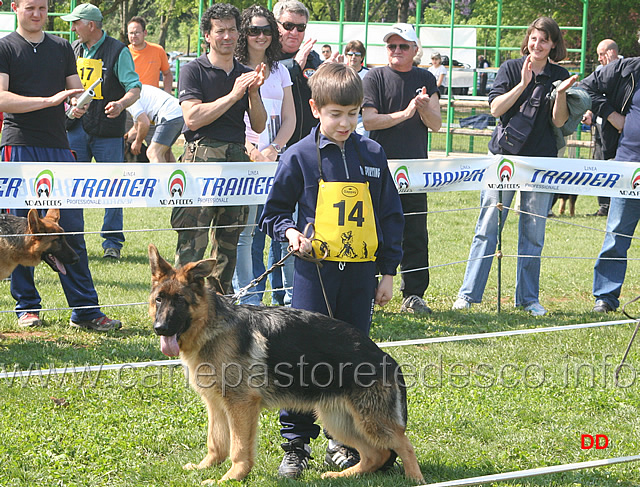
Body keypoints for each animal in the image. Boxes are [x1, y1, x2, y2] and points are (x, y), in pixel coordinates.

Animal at [148, 244, 422, 484]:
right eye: (159, 300)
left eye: (180, 301)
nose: (160, 328)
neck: (210, 325)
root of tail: (385, 357)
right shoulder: (216, 405)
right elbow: (216, 442)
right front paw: (206, 467)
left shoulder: (241, 405)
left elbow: (239, 448)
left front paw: (231, 477)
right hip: (340, 420)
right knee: (377, 454)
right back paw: (343, 475)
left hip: (369, 420)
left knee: (403, 444)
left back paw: (415, 479)